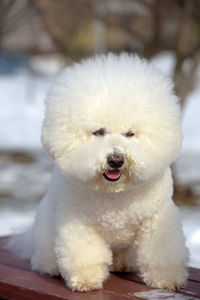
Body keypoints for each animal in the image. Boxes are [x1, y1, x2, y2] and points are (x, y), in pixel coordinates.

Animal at [11, 53, 189, 290]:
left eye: (130, 134)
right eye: (99, 132)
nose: (116, 160)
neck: (114, 193)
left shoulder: (157, 219)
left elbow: (161, 252)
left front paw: (168, 279)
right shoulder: (78, 223)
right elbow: (84, 254)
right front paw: (86, 280)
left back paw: (122, 264)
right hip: (45, 229)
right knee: (45, 255)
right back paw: (51, 267)